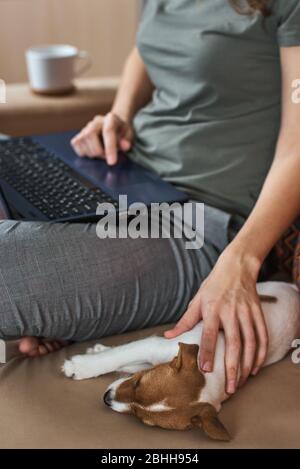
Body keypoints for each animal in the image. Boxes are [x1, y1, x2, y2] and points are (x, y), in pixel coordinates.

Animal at [62, 282, 298, 438]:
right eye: (138, 384)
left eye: (142, 418)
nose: (106, 398)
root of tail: (295, 290)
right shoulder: (155, 345)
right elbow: (119, 356)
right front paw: (80, 365)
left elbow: (128, 362)